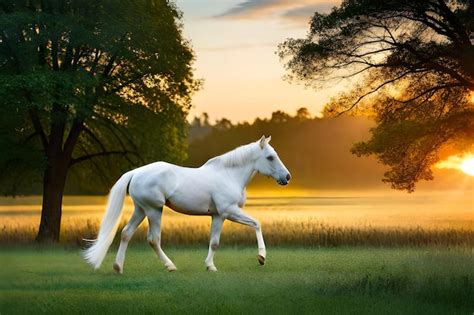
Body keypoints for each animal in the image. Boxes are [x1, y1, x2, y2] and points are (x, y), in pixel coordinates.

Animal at [84, 137, 290, 272]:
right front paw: (261, 257)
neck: (228, 175)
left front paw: (209, 265)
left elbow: (214, 242)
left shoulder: (217, 216)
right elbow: (256, 224)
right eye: (270, 157)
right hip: (153, 210)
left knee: (126, 233)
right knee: (153, 239)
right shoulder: (228, 211)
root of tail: (136, 173)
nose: (287, 177)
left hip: (141, 210)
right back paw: (170, 266)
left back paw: (118, 267)